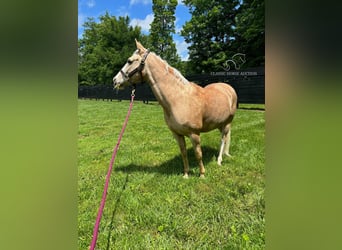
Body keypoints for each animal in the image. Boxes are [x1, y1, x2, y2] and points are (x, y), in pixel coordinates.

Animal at [113, 40, 236, 177]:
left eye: (129, 61)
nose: (115, 80)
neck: (178, 99)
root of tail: (228, 87)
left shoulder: (194, 134)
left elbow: (198, 154)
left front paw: (202, 175)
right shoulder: (177, 134)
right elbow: (184, 153)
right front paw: (186, 174)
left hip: (227, 122)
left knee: (223, 139)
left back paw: (219, 160)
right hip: (220, 123)